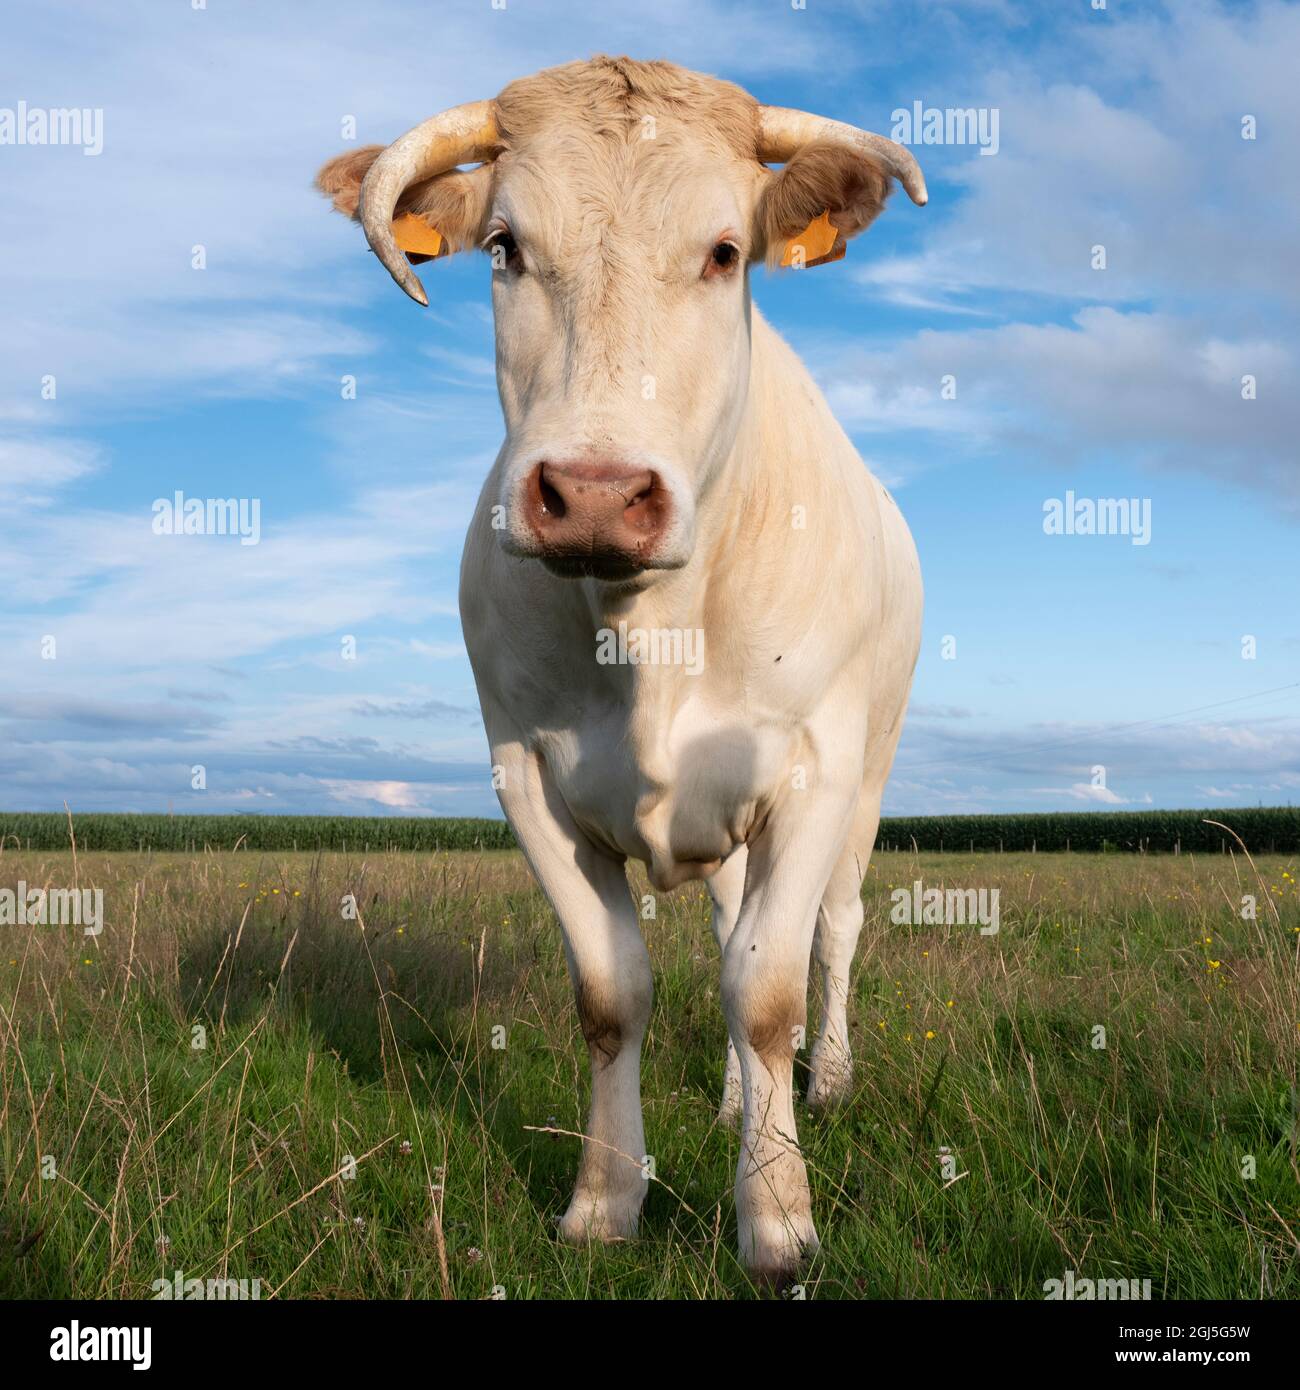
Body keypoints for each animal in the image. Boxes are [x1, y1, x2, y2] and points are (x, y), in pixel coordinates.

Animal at [315, 56, 923, 1289]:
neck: (649, 637)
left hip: (872, 773)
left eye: (727, 251)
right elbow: (615, 992)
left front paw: (776, 1222)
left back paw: (826, 1082)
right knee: (732, 932)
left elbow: (770, 990)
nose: (594, 493)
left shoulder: (814, 769)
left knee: (833, 930)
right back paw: (741, 1099)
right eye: (504, 246)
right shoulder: (526, 776)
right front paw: (605, 1201)